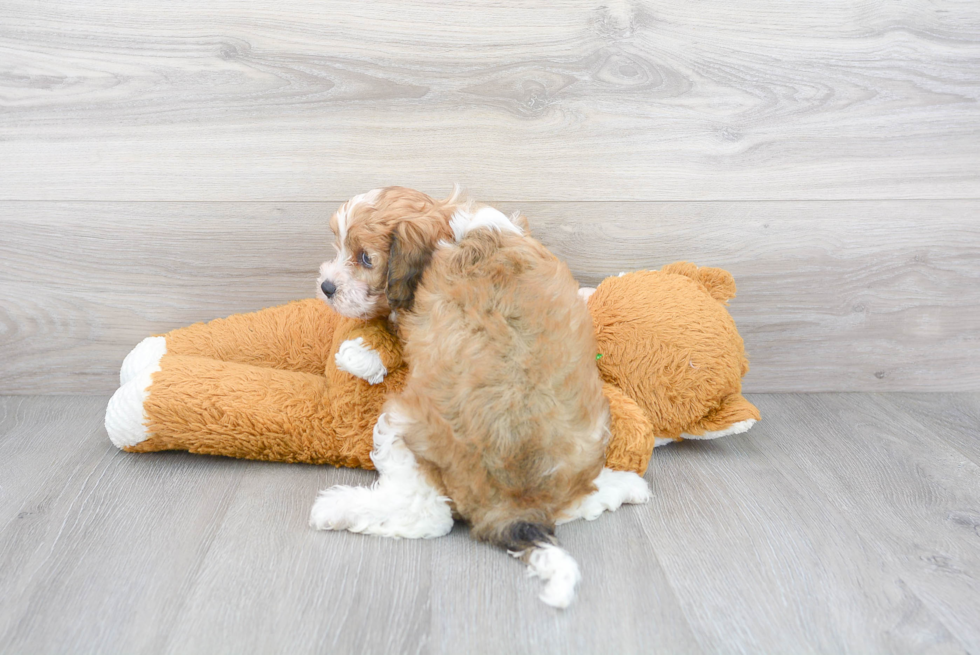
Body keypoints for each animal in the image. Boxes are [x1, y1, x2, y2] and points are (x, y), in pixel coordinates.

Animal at [314, 187, 652, 608]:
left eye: (364, 258)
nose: (327, 286)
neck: (453, 228)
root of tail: (516, 507)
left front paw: (357, 354)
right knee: (579, 499)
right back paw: (627, 486)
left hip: (400, 423)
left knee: (427, 514)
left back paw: (337, 507)